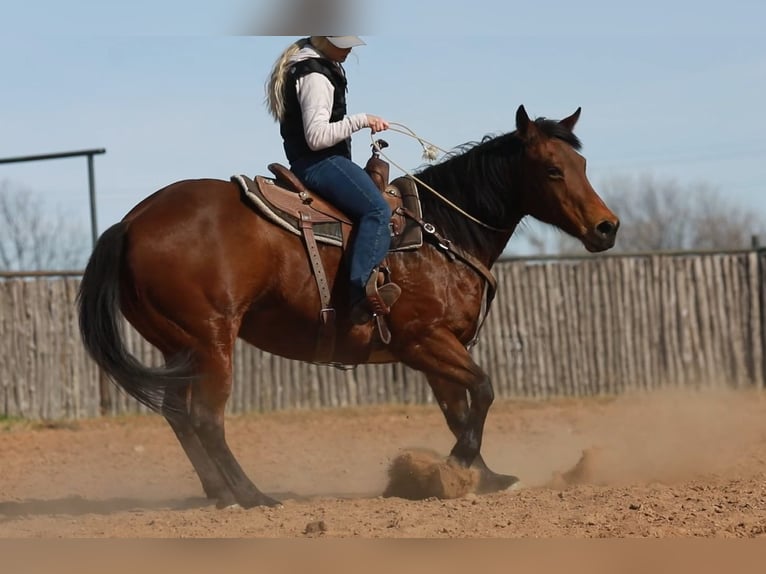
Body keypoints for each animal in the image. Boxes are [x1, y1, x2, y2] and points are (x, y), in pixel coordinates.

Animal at [76, 104, 616, 508]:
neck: (441, 234)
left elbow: (460, 409)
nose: (606, 227)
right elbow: (482, 391)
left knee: (178, 415)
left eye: (583, 166)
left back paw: (220, 493)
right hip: (213, 342)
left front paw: (482, 476)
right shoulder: (424, 340)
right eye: (552, 169)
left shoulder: (439, 350)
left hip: (179, 347)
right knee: (208, 418)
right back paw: (253, 497)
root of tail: (130, 222)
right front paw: (452, 470)